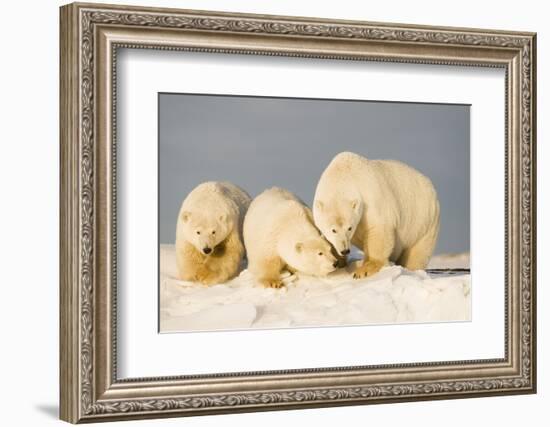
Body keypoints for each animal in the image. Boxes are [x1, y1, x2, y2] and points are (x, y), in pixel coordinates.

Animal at [314, 152, 440, 280]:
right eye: (333, 230)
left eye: (350, 228)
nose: (345, 250)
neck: (343, 175)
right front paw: (337, 262)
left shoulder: (371, 198)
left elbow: (379, 230)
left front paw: (364, 270)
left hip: (423, 222)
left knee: (417, 253)